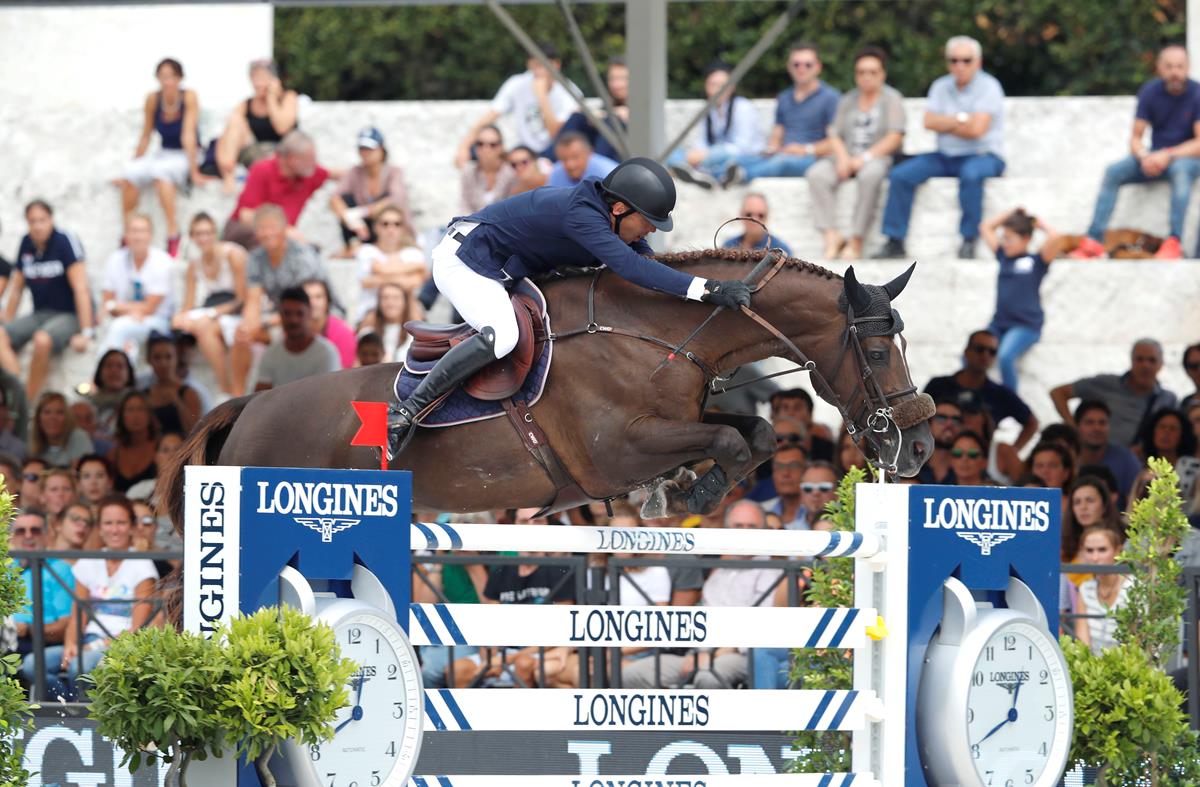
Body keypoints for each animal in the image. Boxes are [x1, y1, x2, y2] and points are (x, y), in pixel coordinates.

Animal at [159, 249, 931, 525]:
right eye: (875, 347)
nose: (918, 446)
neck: (650, 332)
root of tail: (249, 405)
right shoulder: (614, 453)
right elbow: (729, 442)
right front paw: (692, 493)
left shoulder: (676, 427)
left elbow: (757, 432)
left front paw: (688, 490)